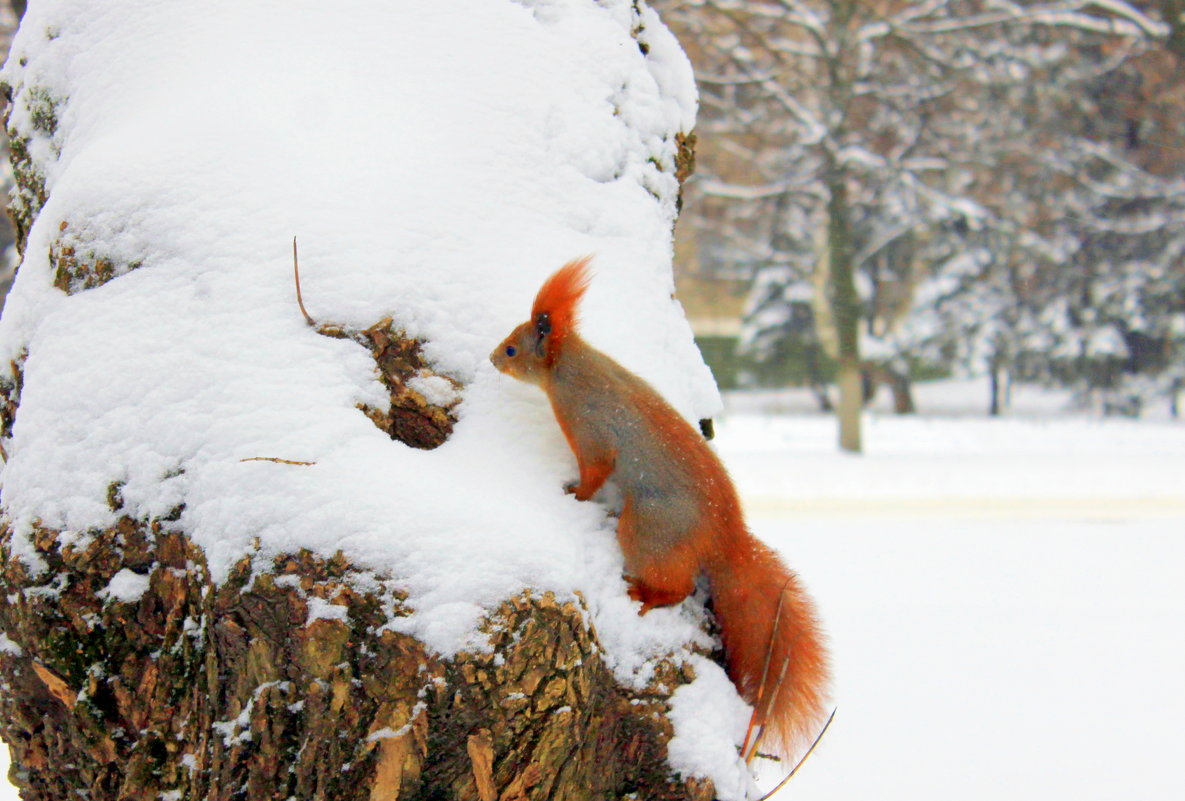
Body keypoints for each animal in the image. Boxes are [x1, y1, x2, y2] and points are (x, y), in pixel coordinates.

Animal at [485, 258, 829, 763]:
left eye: (513, 347)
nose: (491, 359)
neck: (571, 368)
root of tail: (725, 536)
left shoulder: (590, 433)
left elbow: (594, 473)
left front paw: (574, 495)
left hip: (649, 530)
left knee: (678, 586)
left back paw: (645, 594)